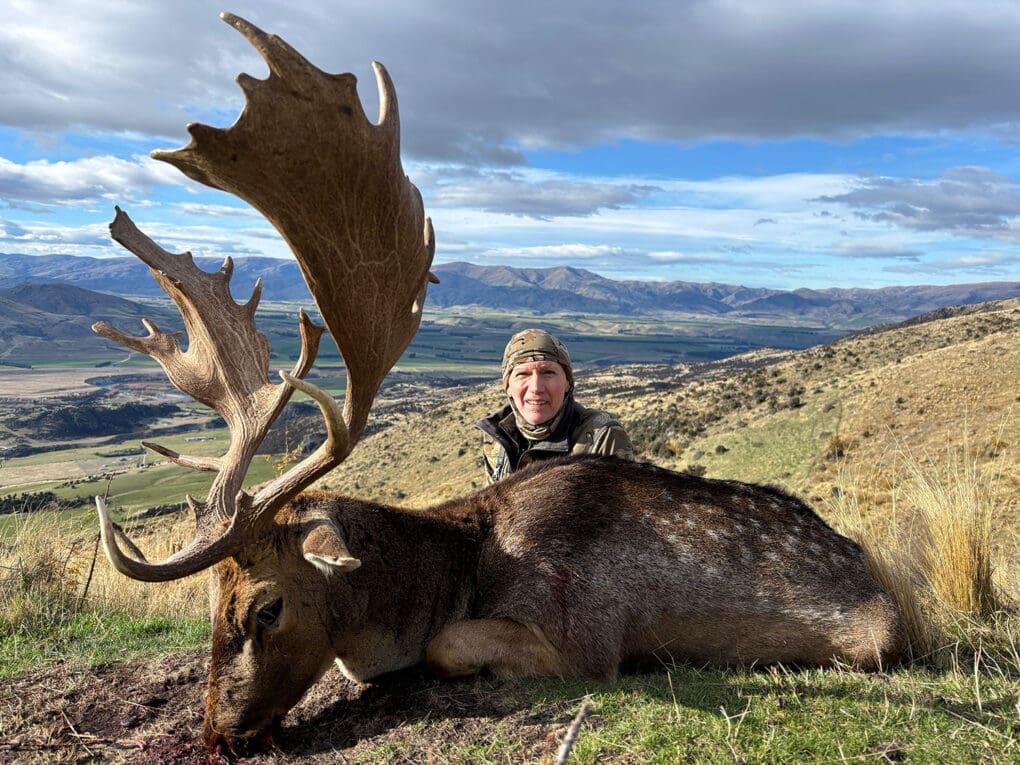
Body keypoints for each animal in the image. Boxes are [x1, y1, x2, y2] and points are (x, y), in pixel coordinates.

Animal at [92, 13, 905, 756]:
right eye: (211, 603)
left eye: (267, 608)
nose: (217, 734)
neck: (455, 571)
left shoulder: (580, 633)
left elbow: (450, 645)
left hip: (872, 636)